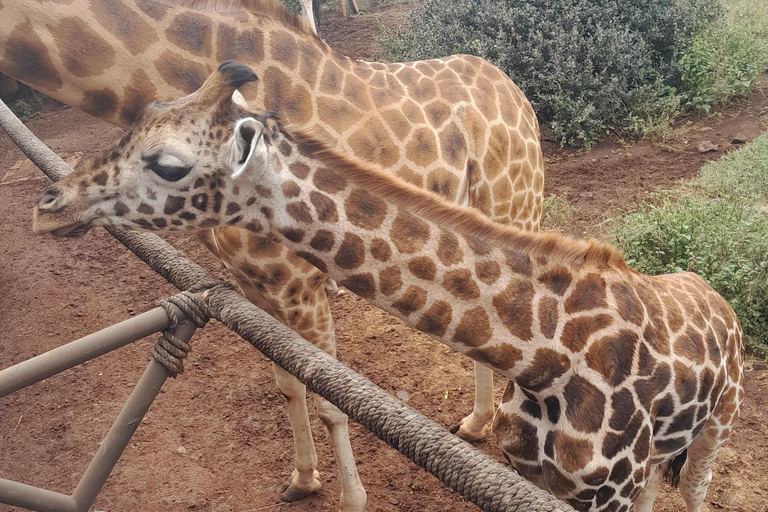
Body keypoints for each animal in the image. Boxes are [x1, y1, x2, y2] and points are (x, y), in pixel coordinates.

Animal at [1, 2, 540, 510]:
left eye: (167, 164)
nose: (46, 210)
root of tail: (513, 89)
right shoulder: (254, 287)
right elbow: (287, 382)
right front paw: (303, 479)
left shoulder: (301, 288)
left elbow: (331, 400)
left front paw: (351, 501)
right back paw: (475, 423)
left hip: (515, 208)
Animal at [31, 62, 744, 510]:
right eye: (143, 113)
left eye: (169, 165)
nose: (49, 204)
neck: (546, 353)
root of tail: (726, 307)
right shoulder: (535, 476)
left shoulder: (606, 490)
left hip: (716, 425)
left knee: (695, 490)